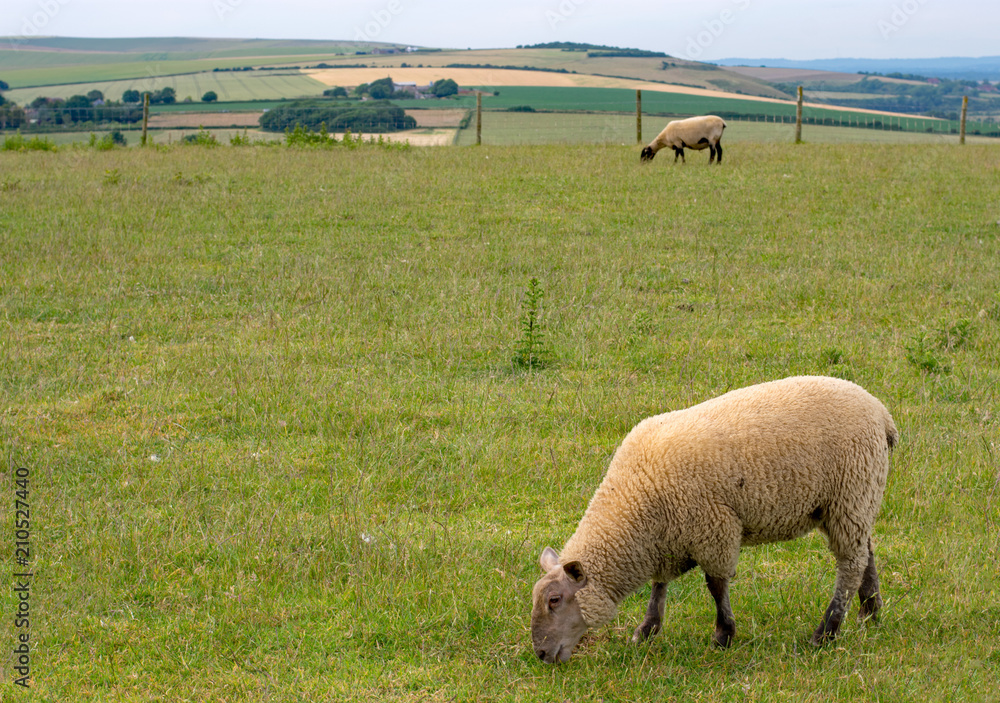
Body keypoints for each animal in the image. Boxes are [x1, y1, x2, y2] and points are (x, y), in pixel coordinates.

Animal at [531, 375, 897, 663]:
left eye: (554, 600)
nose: (541, 654)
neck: (635, 499)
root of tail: (881, 413)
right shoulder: (668, 539)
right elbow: (659, 585)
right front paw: (647, 629)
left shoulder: (712, 527)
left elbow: (716, 586)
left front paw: (723, 635)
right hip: (853, 501)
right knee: (866, 552)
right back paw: (870, 612)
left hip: (851, 491)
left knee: (850, 565)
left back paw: (827, 632)